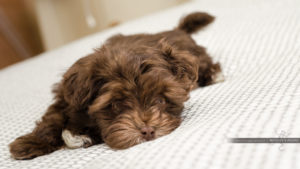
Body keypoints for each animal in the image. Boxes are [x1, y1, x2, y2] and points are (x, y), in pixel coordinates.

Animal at [8, 11, 223, 160]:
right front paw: (31, 143)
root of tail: (177, 30)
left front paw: (79, 135)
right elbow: (52, 118)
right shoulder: (66, 97)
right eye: (116, 105)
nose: (147, 131)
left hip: (196, 55)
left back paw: (213, 74)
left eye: (161, 100)